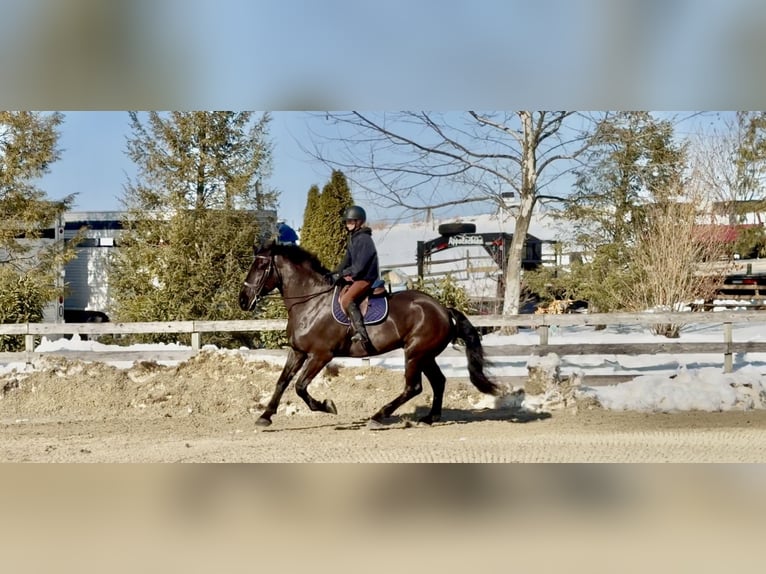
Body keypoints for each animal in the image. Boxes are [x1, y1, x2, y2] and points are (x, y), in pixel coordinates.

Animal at [238, 241, 503, 428]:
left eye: (261, 266)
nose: (242, 300)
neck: (310, 302)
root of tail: (443, 309)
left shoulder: (321, 355)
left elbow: (300, 387)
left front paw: (327, 406)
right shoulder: (298, 351)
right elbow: (282, 382)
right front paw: (265, 416)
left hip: (415, 353)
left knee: (413, 387)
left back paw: (378, 416)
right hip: (426, 355)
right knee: (438, 381)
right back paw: (429, 418)